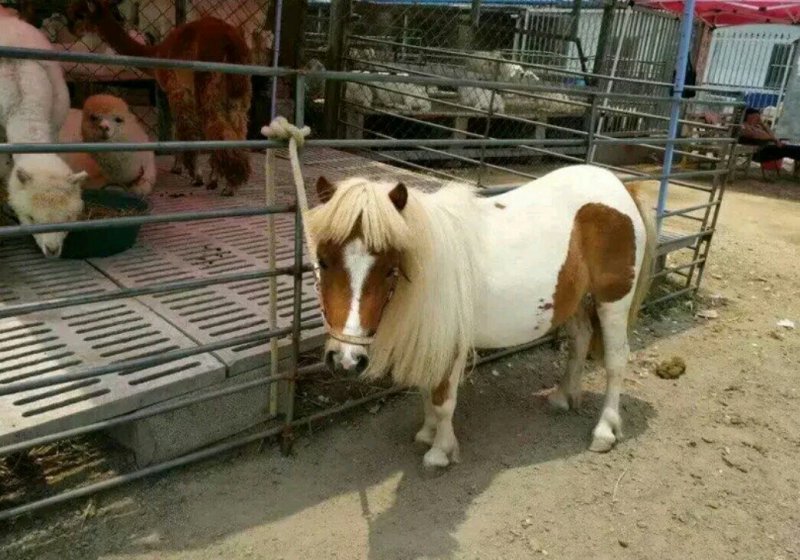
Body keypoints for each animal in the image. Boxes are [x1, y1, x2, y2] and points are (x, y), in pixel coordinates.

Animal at [306, 164, 656, 469]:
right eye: (322, 261)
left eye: (390, 268)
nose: (346, 360)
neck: (433, 263)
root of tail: (621, 187)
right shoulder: (432, 337)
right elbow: (427, 392)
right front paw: (428, 433)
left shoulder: (452, 342)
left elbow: (443, 400)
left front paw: (441, 451)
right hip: (573, 299)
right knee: (580, 339)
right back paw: (562, 397)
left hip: (613, 302)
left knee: (616, 361)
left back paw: (604, 430)